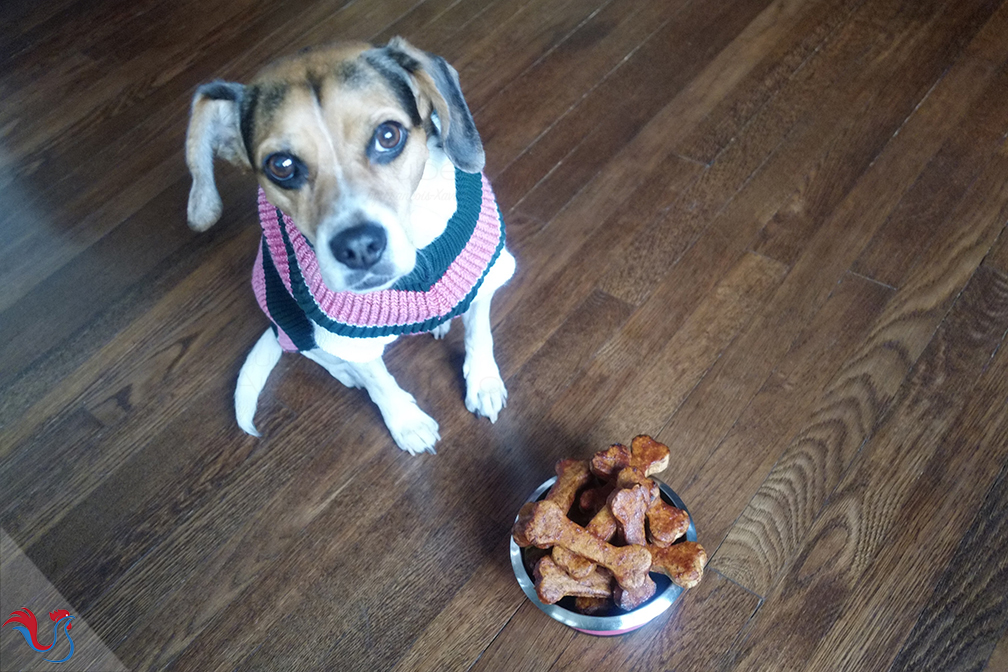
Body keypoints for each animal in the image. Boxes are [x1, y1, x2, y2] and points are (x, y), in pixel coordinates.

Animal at [185, 38, 516, 457]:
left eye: (388, 136)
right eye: (281, 165)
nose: (359, 247)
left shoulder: (486, 276)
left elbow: (479, 335)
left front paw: (483, 383)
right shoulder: (346, 336)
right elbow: (379, 382)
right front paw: (407, 423)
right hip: (284, 312)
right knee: (308, 349)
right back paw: (342, 369)